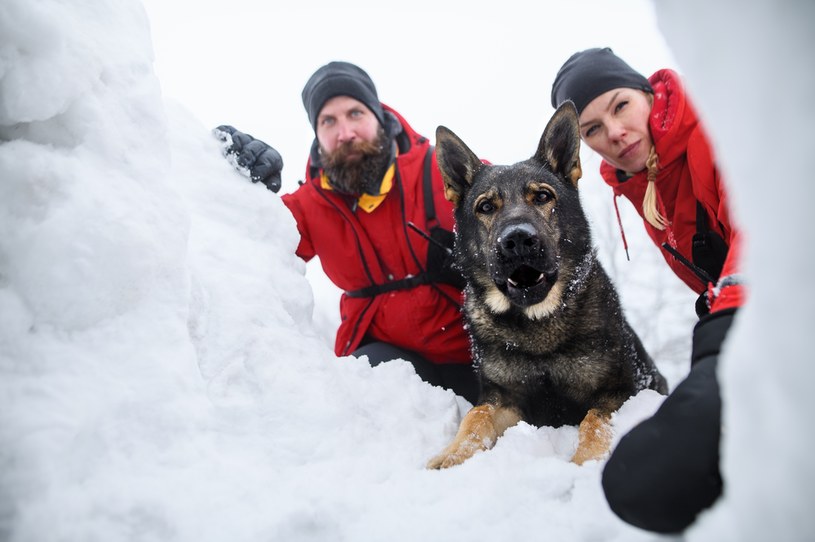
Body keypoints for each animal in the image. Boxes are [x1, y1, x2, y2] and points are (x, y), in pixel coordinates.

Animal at [428, 104, 668, 470]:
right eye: (486, 207)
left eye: (542, 196)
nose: (517, 240)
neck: (537, 324)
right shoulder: (504, 397)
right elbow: (475, 416)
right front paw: (453, 454)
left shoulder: (620, 391)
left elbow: (594, 421)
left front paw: (585, 461)